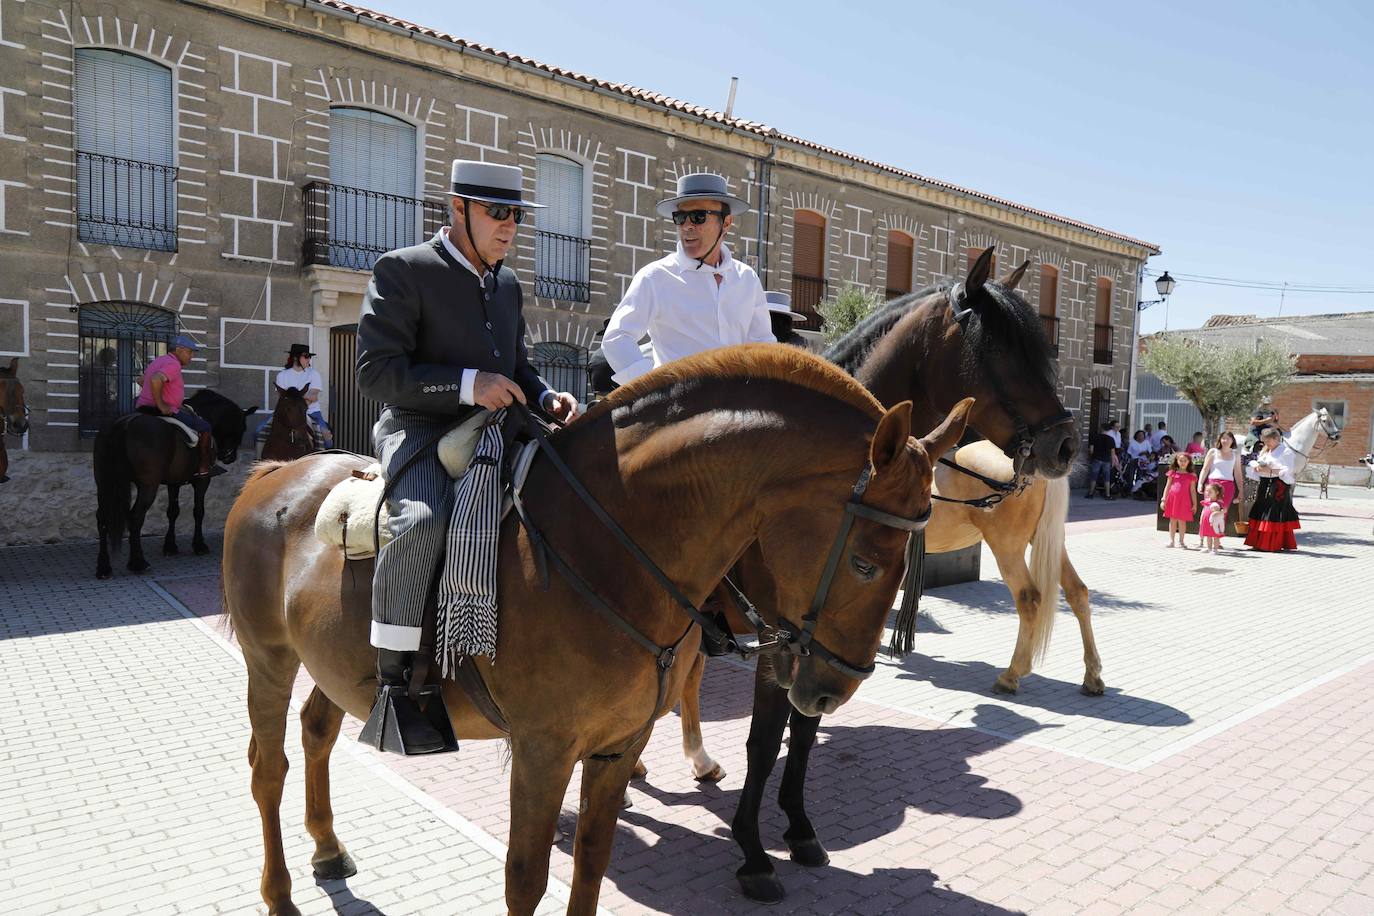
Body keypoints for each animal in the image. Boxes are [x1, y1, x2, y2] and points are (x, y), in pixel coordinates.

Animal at [98, 390, 258, 576]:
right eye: (243, 427)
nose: (229, 457)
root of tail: (124, 424)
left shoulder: (173, 482)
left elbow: (173, 511)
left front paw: (170, 545)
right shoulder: (203, 480)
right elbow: (198, 511)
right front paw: (199, 545)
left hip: (104, 484)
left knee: (102, 518)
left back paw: (103, 567)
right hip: (147, 486)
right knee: (135, 517)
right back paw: (138, 562)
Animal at [222, 346, 978, 916]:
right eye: (864, 560)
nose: (829, 691)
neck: (603, 546)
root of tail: (276, 474)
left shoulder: (618, 745)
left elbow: (590, 863)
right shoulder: (543, 750)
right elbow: (526, 878)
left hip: (332, 664)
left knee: (317, 733)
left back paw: (327, 849)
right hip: (268, 659)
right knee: (267, 769)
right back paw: (279, 893)